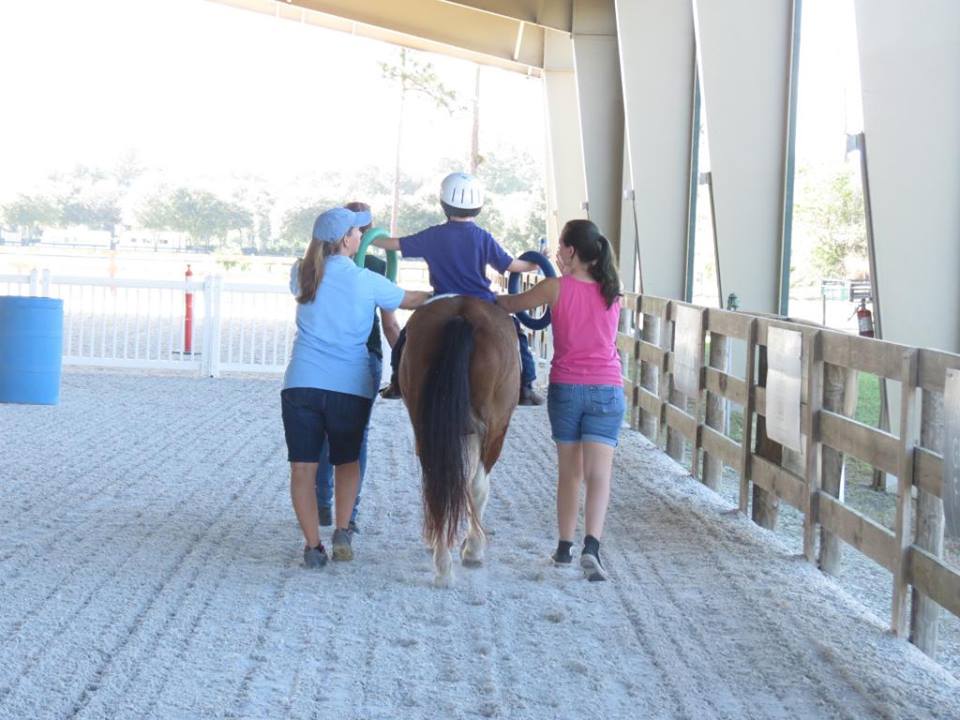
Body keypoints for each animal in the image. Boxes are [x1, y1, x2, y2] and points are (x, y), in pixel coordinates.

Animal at [398, 296, 516, 588]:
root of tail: (462, 316)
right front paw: (472, 548)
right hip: (495, 428)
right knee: (476, 485)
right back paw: (465, 553)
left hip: (426, 426)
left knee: (437, 481)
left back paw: (442, 563)